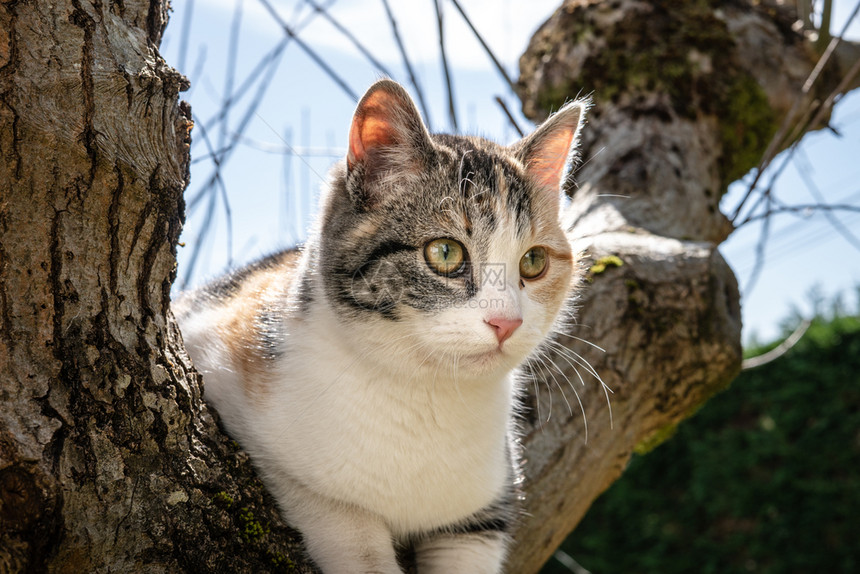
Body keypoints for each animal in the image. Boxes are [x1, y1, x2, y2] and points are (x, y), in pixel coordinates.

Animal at [174, 77, 584, 574]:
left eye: (534, 261)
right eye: (445, 252)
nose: (506, 321)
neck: (426, 395)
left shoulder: (478, 518)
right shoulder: (229, 382)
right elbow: (344, 522)